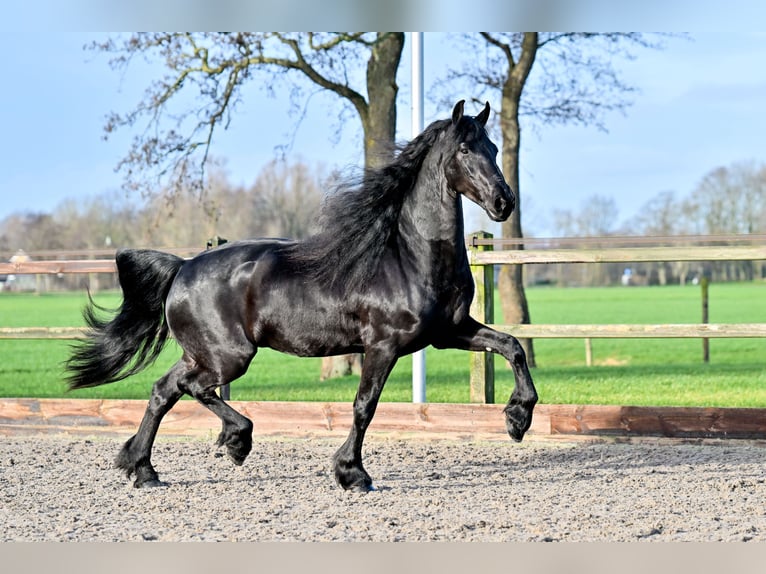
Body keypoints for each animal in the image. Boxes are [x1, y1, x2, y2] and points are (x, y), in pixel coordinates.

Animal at [65, 100, 538, 492]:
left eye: (494, 147)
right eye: (465, 150)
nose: (504, 202)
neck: (409, 257)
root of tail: (183, 267)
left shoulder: (449, 332)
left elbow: (512, 346)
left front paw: (518, 419)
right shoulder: (383, 346)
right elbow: (364, 406)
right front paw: (352, 474)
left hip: (205, 353)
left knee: (164, 390)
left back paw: (144, 469)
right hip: (229, 356)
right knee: (190, 387)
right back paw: (235, 441)